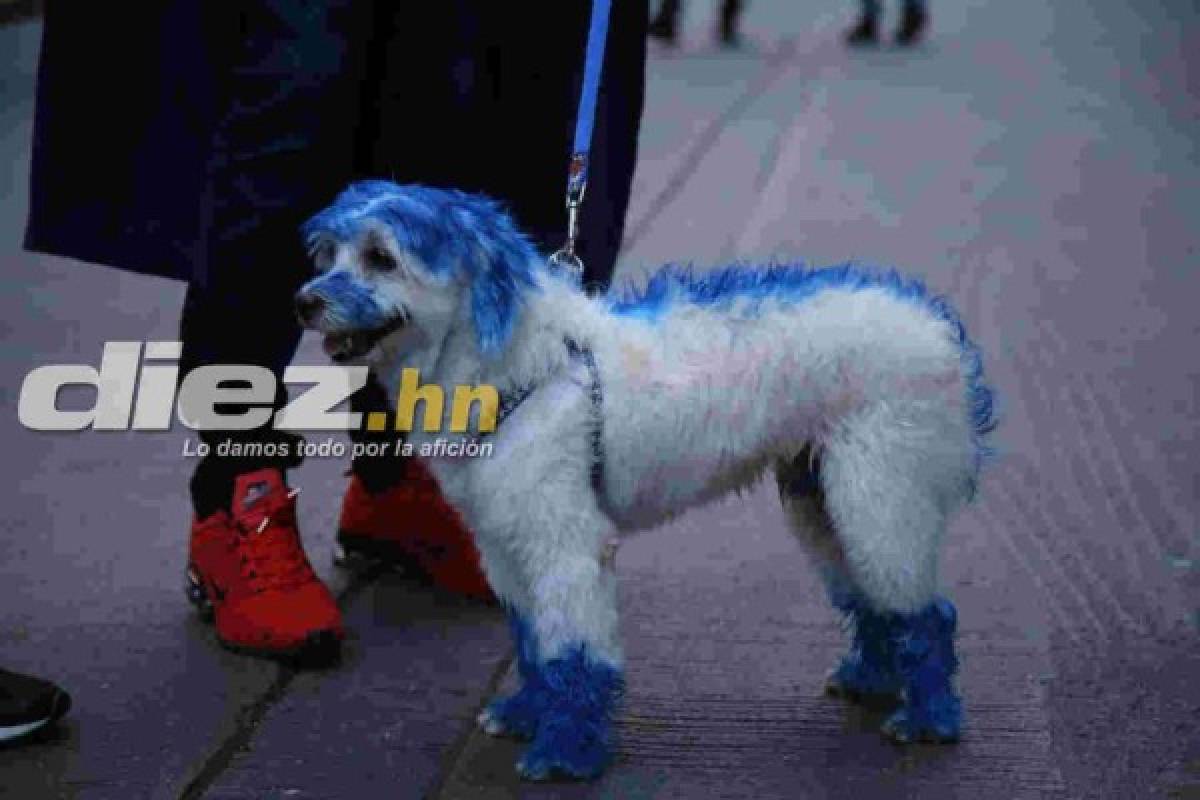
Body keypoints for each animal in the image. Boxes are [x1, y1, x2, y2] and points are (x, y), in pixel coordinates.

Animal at [292, 181, 993, 782]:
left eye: (381, 257)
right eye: (329, 254)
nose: (305, 300)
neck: (520, 366)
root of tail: (936, 326)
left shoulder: (567, 547)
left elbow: (575, 653)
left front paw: (566, 754)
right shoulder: (506, 544)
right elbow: (535, 643)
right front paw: (524, 714)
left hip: (880, 498)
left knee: (928, 613)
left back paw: (928, 718)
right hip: (823, 501)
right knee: (873, 600)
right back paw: (870, 679)